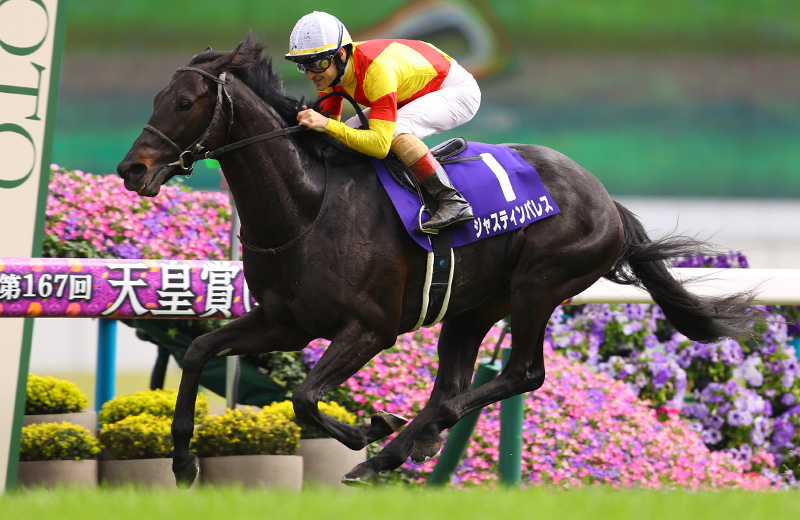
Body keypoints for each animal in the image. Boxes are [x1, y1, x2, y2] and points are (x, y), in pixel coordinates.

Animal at [117, 37, 757, 487]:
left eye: (185, 101)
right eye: (154, 98)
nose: (131, 169)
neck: (308, 207)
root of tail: (606, 200)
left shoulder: (369, 328)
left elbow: (304, 396)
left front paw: (368, 428)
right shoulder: (286, 322)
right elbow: (199, 351)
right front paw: (182, 461)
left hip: (540, 284)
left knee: (521, 374)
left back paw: (393, 449)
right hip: (473, 305)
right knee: (454, 381)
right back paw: (409, 446)